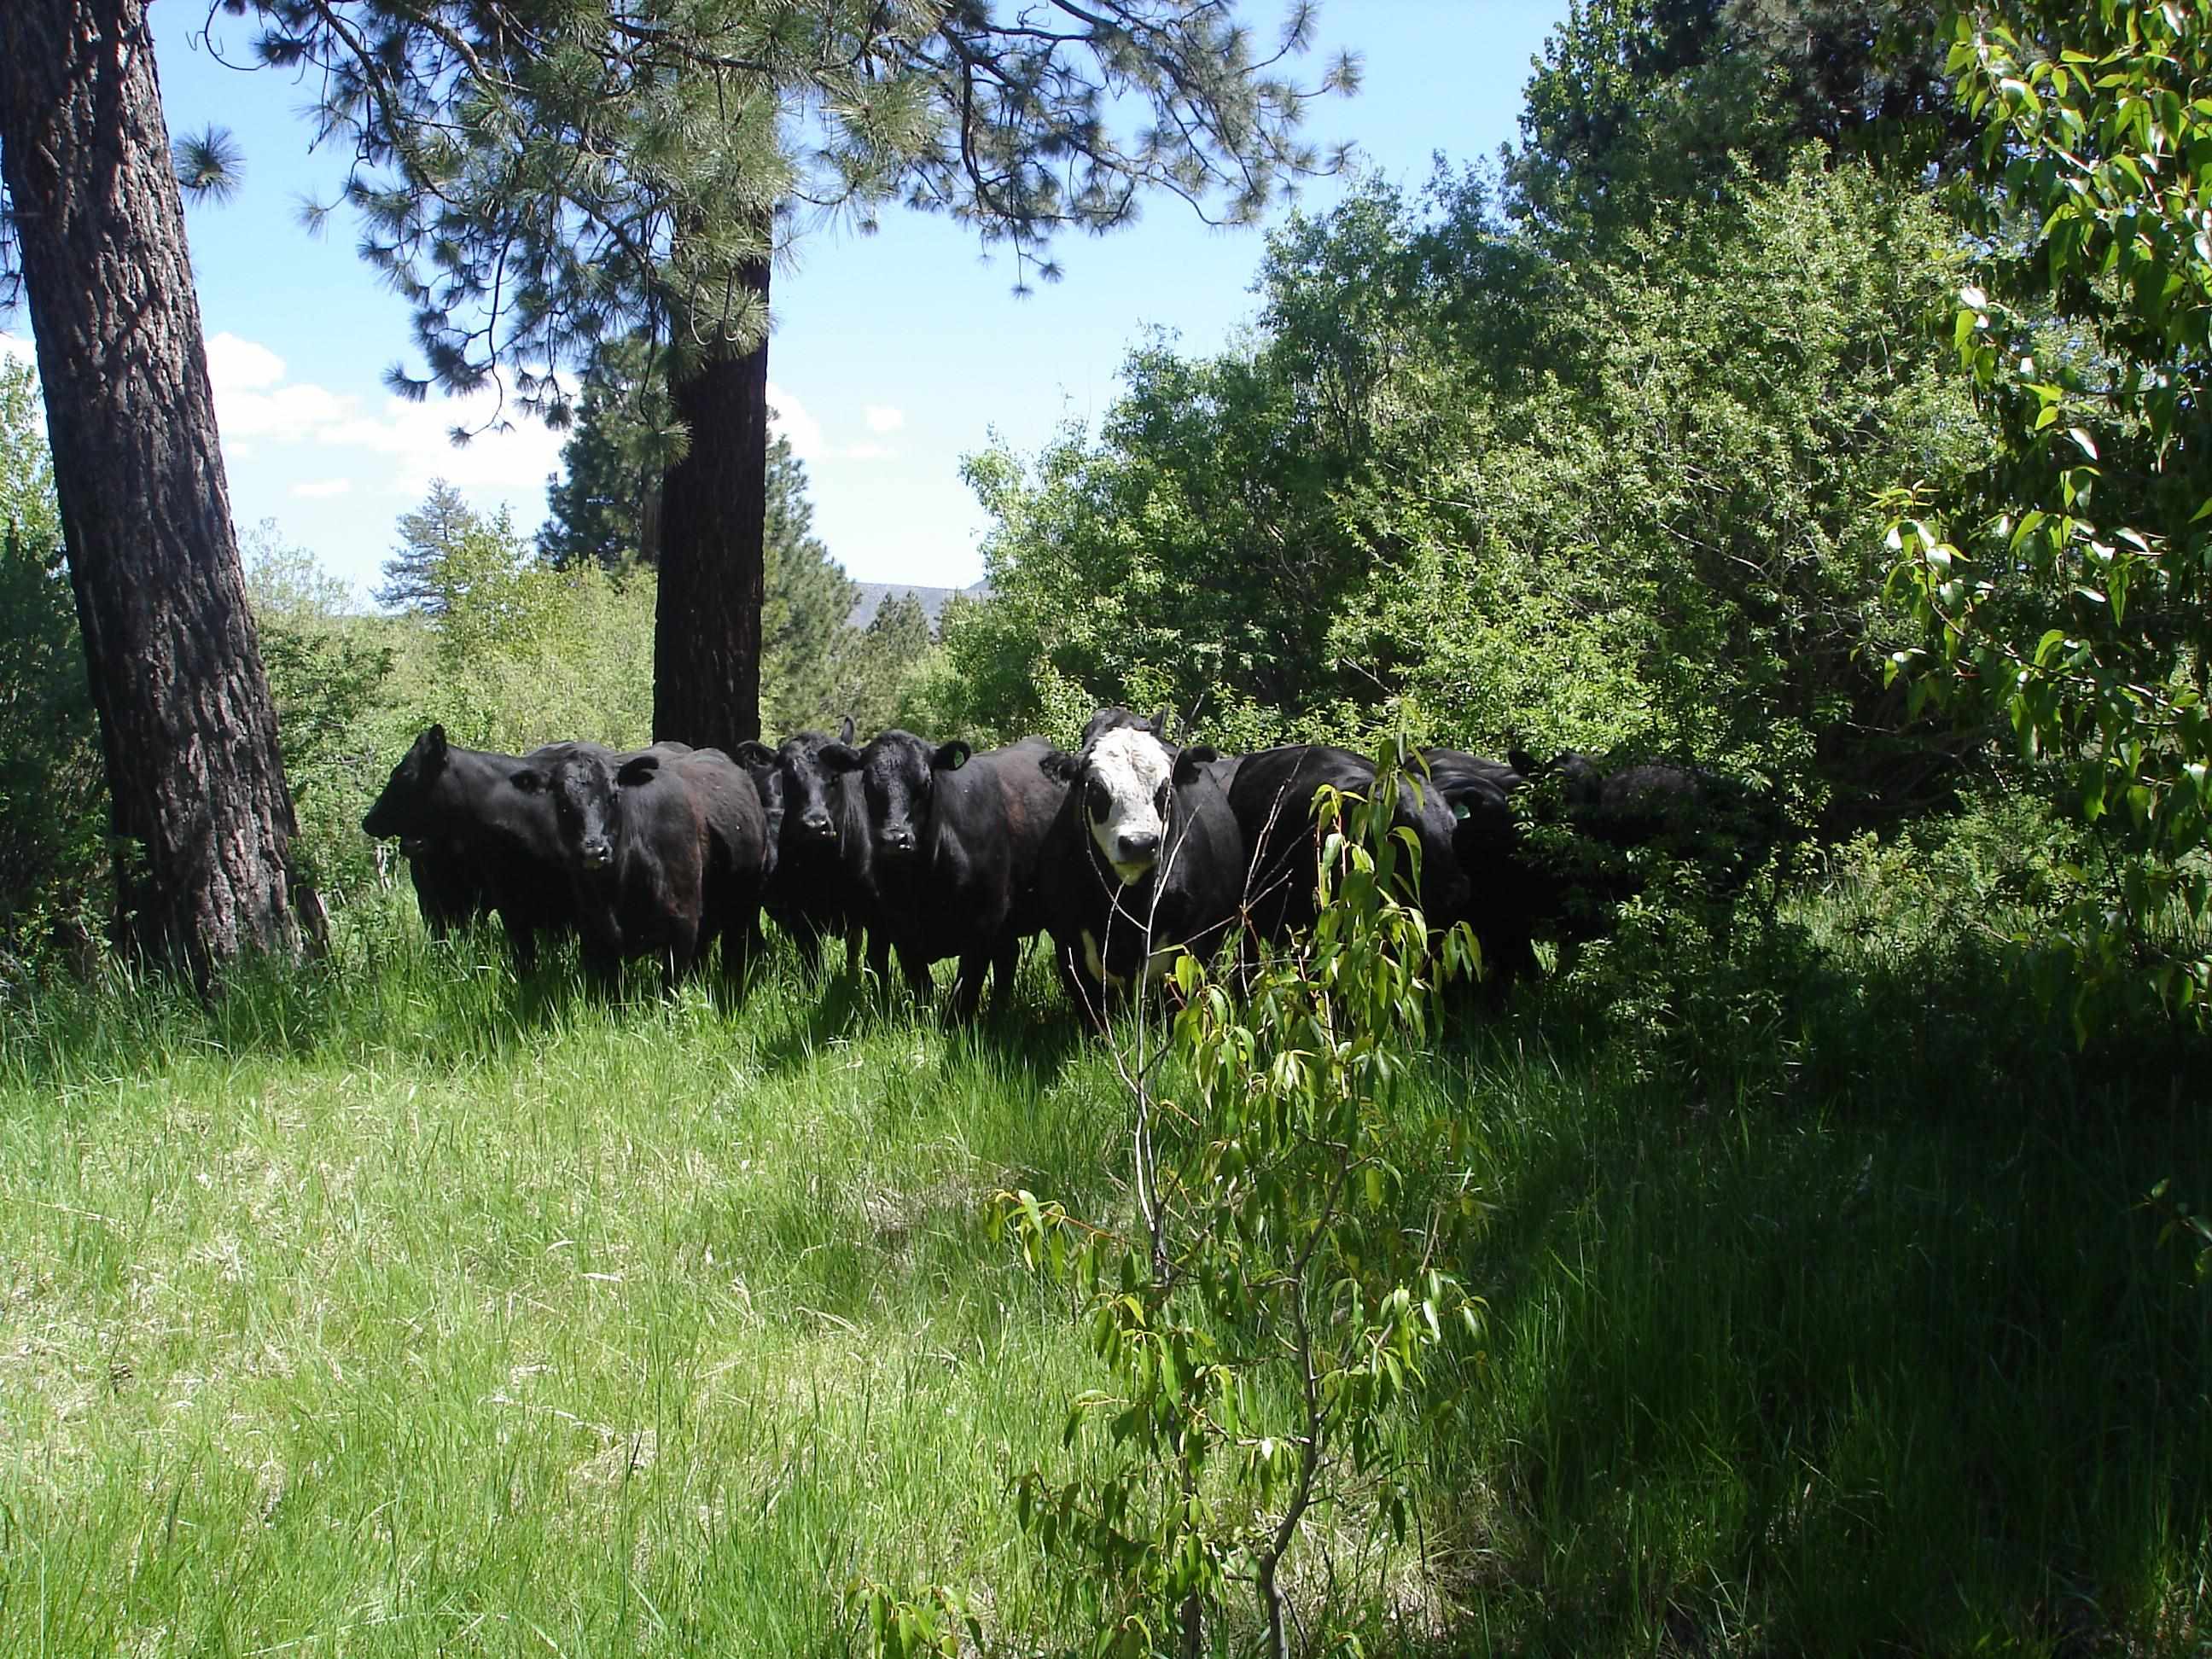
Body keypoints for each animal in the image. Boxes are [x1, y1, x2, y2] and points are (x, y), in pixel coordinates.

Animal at [831, 734, 1066, 1022]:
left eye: (925, 783)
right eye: (867, 783)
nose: (894, 839)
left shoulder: (984, 924)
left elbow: (965, 990)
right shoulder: (900, 928)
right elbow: (922, 987)